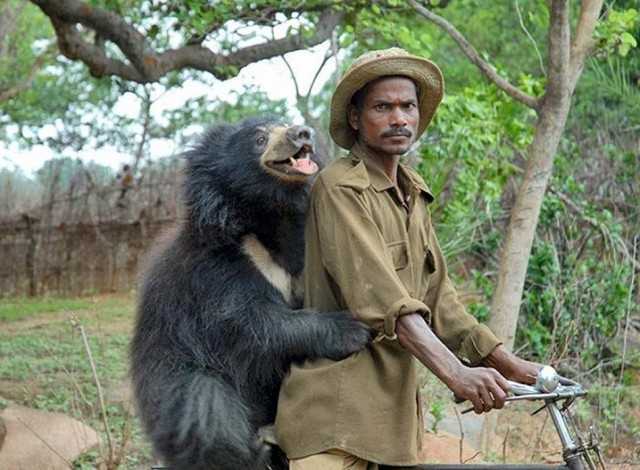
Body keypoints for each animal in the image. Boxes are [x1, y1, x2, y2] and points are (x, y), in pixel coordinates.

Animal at [129, 116, 371, 470]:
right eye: (259, 139)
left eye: (285, 123)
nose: (303, 133)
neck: (273, 217)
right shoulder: (217, 267)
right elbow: (253, 322)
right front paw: (351, 330)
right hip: (175, 384)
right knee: (206, 409)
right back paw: (251, 453)